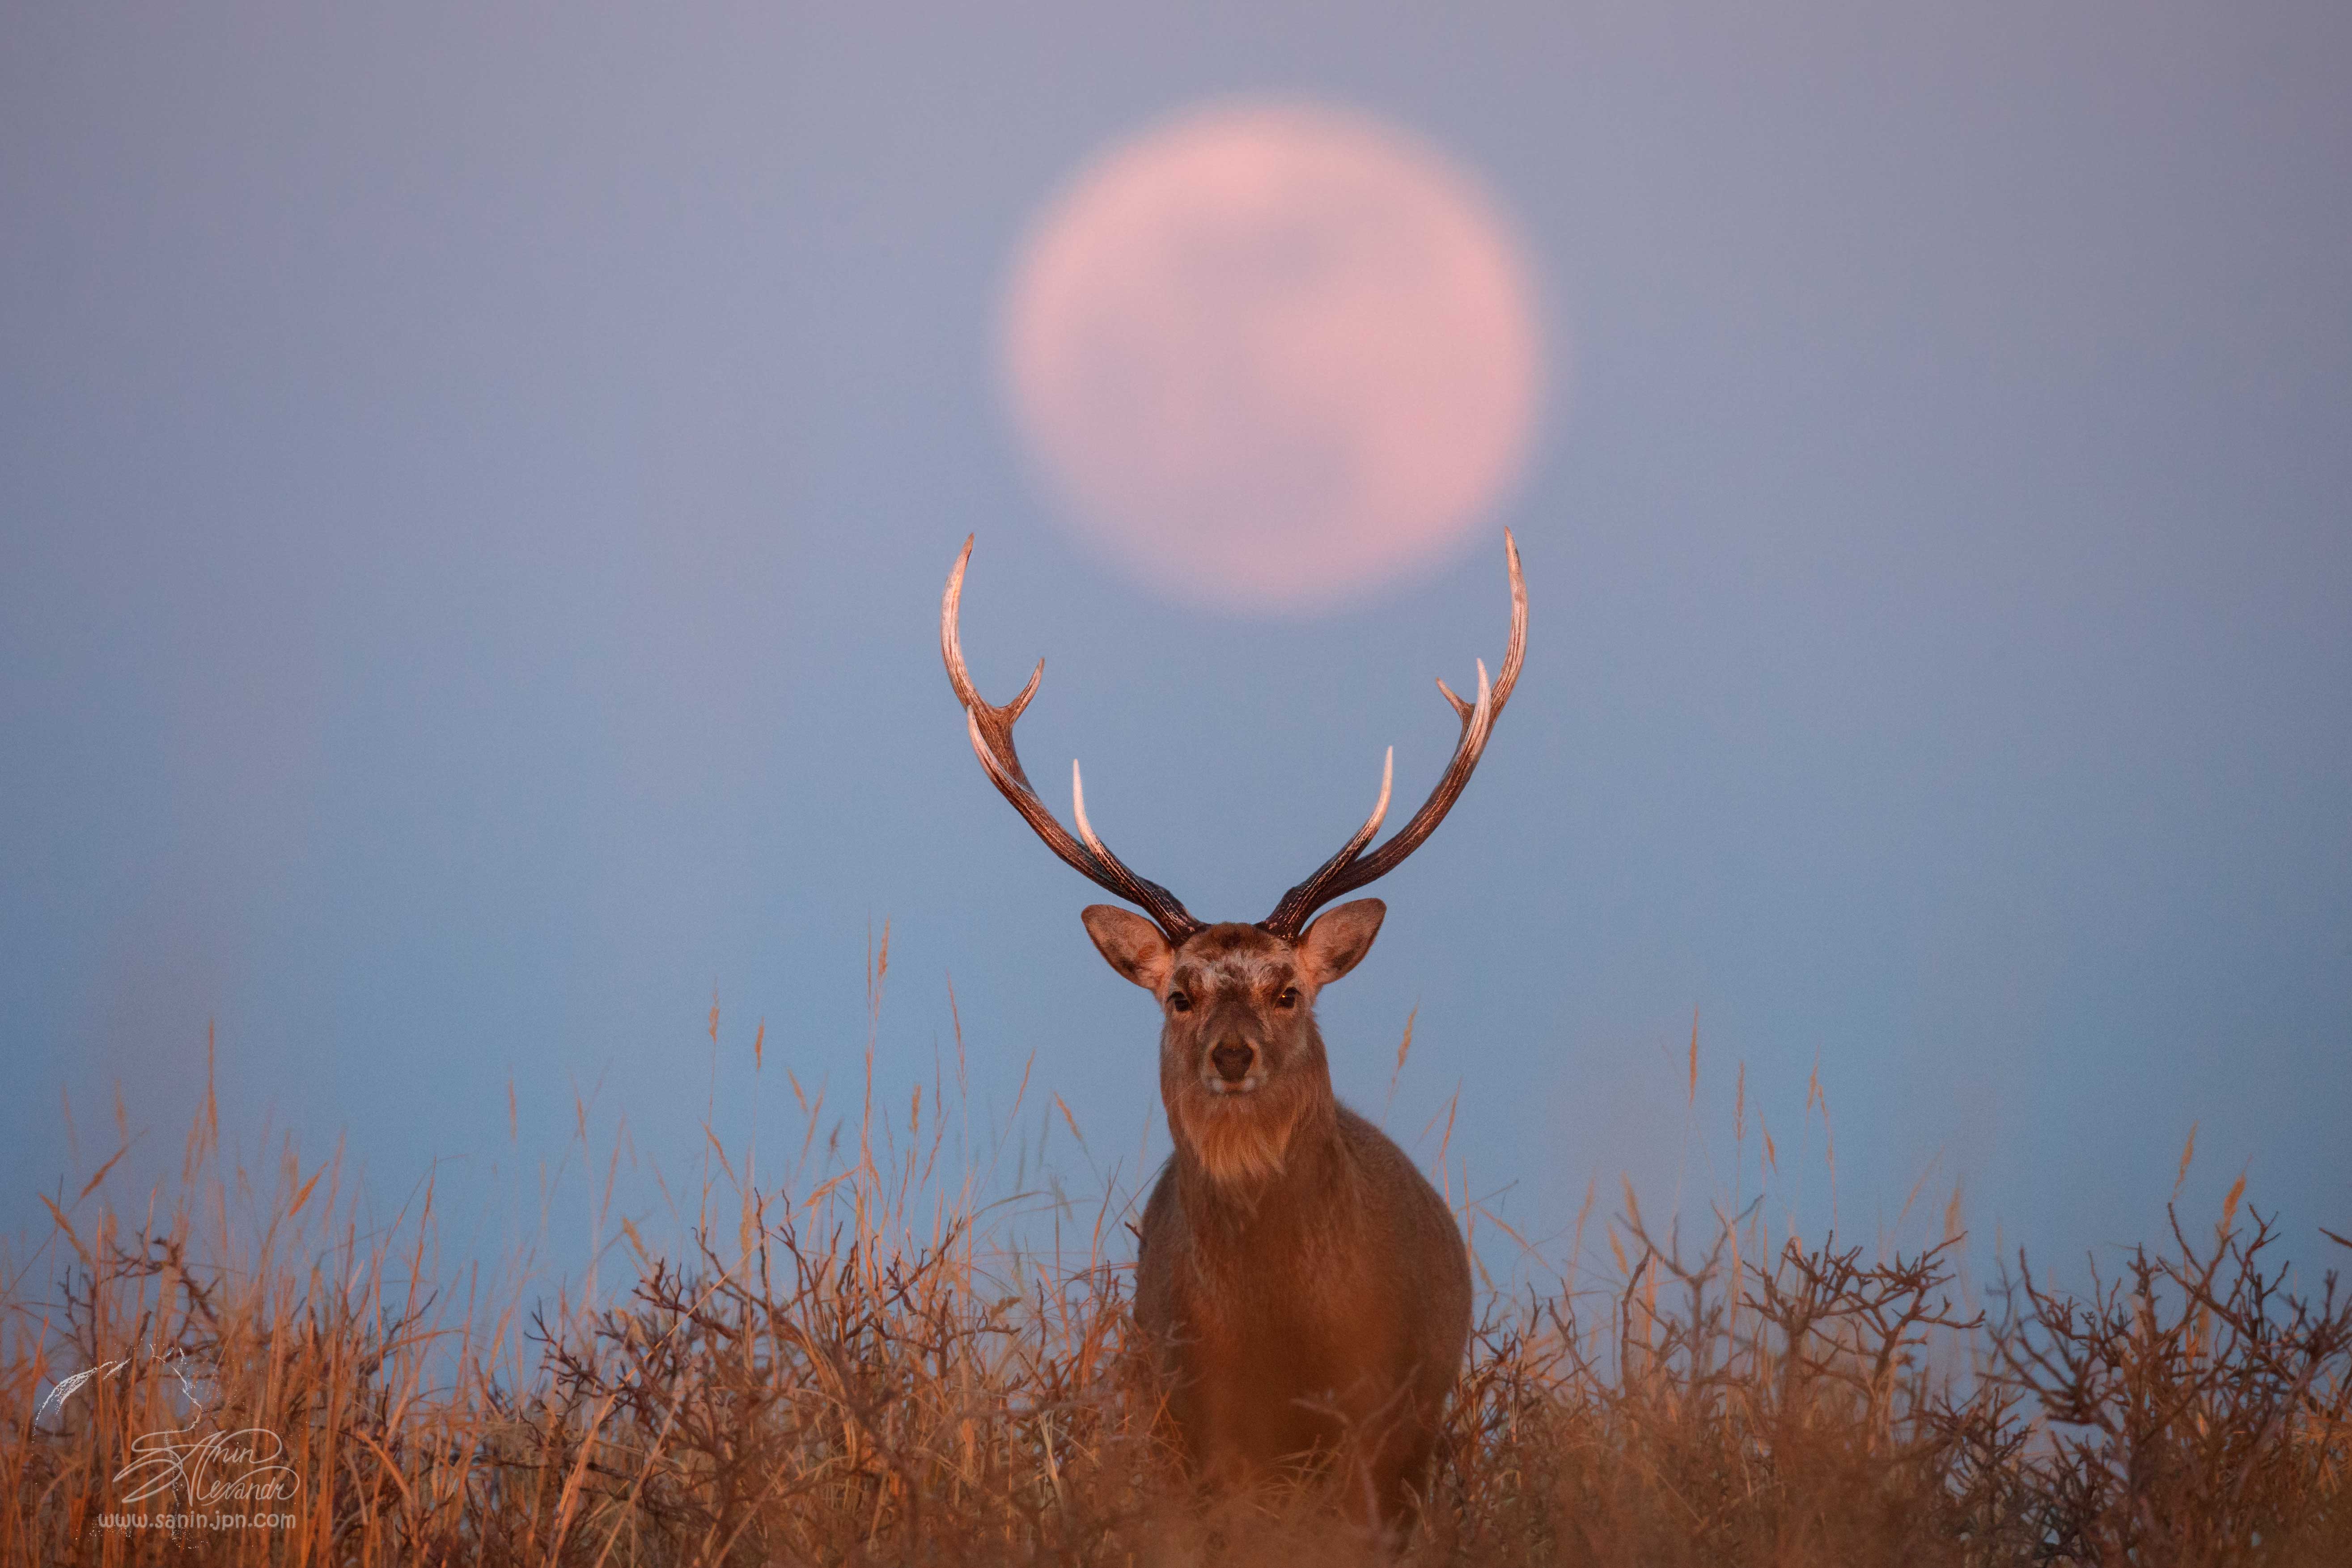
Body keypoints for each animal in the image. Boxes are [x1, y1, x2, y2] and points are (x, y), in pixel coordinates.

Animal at [936, 534, 1524, 1542]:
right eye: (1178, 995)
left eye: (1289, 991)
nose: (1233, 1052)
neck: (1277, 1329)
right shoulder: (1193, 1415)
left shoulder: (1372, 1413)